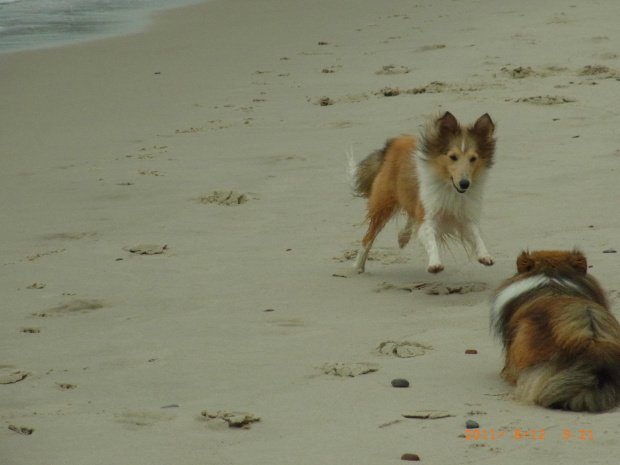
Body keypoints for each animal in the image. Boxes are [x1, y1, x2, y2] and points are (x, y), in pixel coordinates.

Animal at [352, 111, 496, 274]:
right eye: (453, 157)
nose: (464, 183)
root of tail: (395, 141)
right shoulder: (428, 214)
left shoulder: (464, 215)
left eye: (473, 158)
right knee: (368, 237)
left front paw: (484, 255)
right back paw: (358, 266)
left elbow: (476, 235)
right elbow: (430, 239)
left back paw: (403, 236)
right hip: (384, 204)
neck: (450, 186)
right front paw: (435, 264)